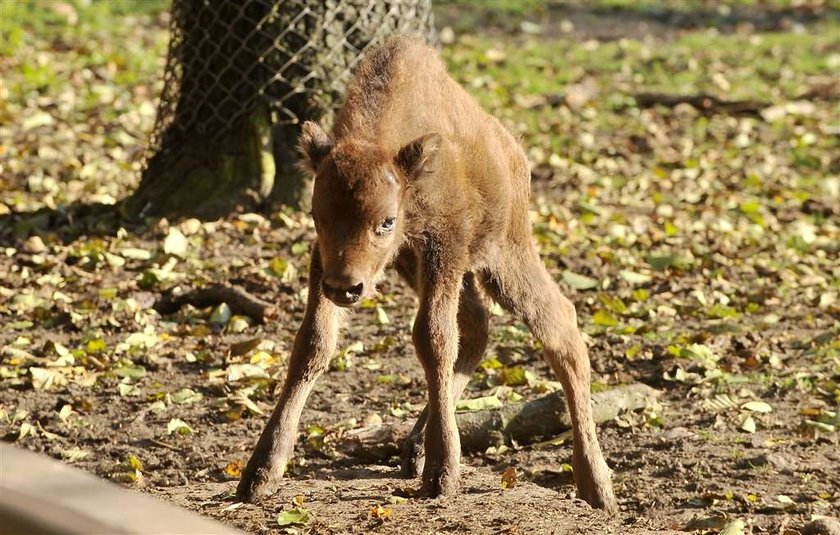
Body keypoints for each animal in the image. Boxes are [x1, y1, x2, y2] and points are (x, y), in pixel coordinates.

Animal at [236, 35, 616, 512]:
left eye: (386, 221)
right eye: (318, 217)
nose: (346, 288)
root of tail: (512, 150)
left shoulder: (444, 248)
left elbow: (433, 338)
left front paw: (442, 475)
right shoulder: (332, 262)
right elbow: (313, 344)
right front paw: (260, 473)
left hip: (504, 256)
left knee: (559, 326)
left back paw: (596, 486)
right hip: (413, 265)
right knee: (478, 330)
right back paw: (416, 446)